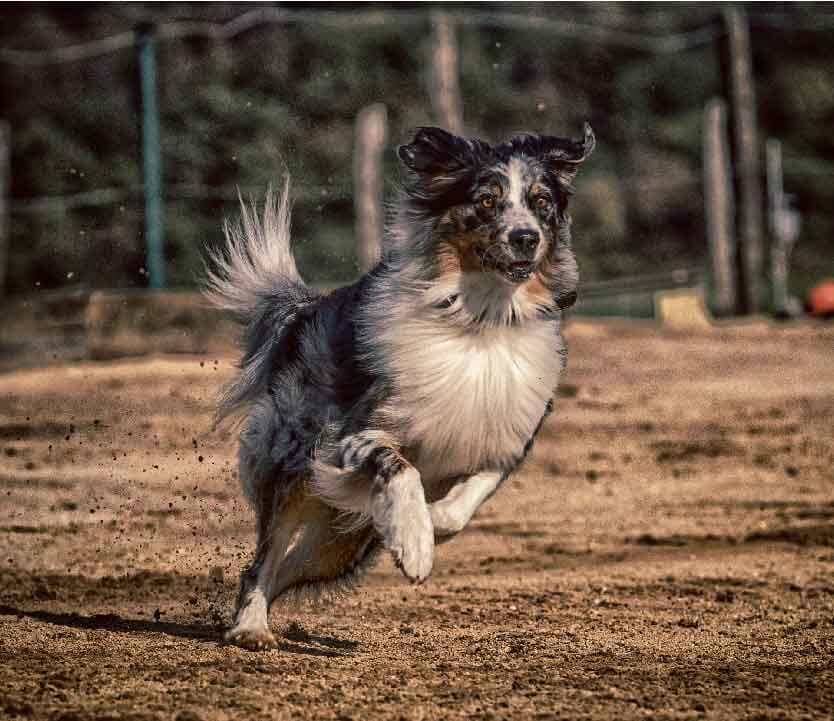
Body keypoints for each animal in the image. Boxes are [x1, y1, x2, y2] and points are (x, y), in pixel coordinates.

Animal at [211, 122, 596, 648]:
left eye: (541, 201)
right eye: (487, 200)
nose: (525, 237)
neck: (481, 320)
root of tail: (308, 310)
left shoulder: (507, 439)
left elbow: (462, 504)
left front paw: (427, 528)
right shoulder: (351, 435)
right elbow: (401, 468)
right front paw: (414, 544)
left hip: (339, 545)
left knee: (283, 571)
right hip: (294, 471)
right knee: (261, 564)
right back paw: (250, 628)